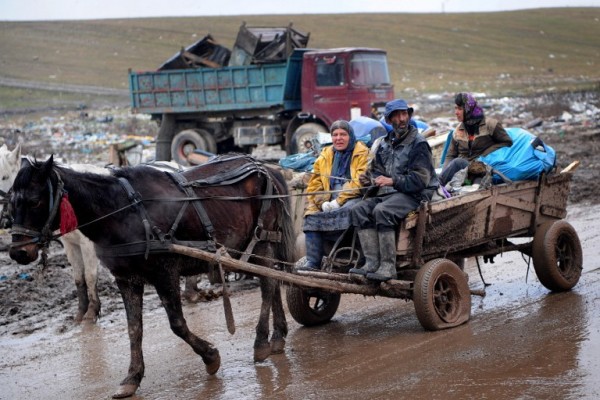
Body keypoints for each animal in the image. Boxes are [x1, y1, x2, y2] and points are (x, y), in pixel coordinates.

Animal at [9, 153, 296, 396]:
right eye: (11, 202)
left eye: (34, 201)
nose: (18, 253)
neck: (122, 211)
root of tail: (266, 167)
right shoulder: (126, 279)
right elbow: (134, 329)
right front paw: (132, 377)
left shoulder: (165, 272)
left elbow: (177, 324)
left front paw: (211, 357)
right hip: (253, 246)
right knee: (273, 280)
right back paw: (278, 336)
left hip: (262, 238)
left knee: (268, 284)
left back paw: (261, 342)